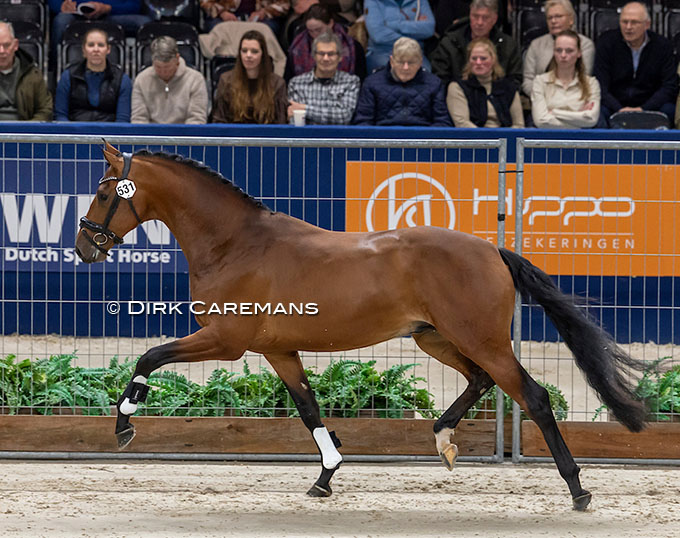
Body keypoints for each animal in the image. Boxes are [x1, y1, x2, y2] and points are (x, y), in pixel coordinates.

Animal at [75, 141, 649, 511]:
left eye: (104, 193)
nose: (83, 247)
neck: (236, 244)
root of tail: (492, 250)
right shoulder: (277, 350)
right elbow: (309, 409)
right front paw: (326, 477)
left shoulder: (224, 341)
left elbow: (150, 356)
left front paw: (125, 424)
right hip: (436, 337)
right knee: (480, 380)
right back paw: (443, 440)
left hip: (480, 339)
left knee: (533, 396)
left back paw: (578, 490)